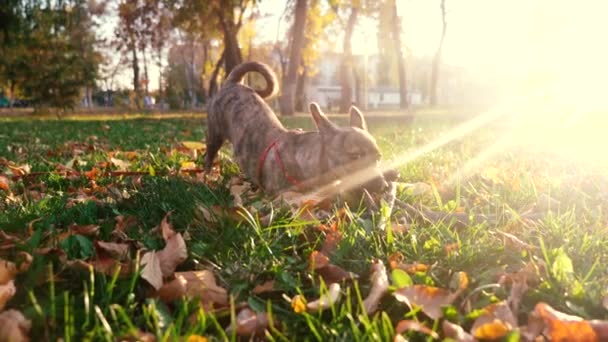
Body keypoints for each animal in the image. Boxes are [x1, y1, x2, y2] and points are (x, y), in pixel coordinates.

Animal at [203, 61, 384, 195]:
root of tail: (233, 83)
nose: (384, 186)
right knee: (209, 157)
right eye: (355, 157)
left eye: (379, 158)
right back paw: (206, 179)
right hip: (214, 136)